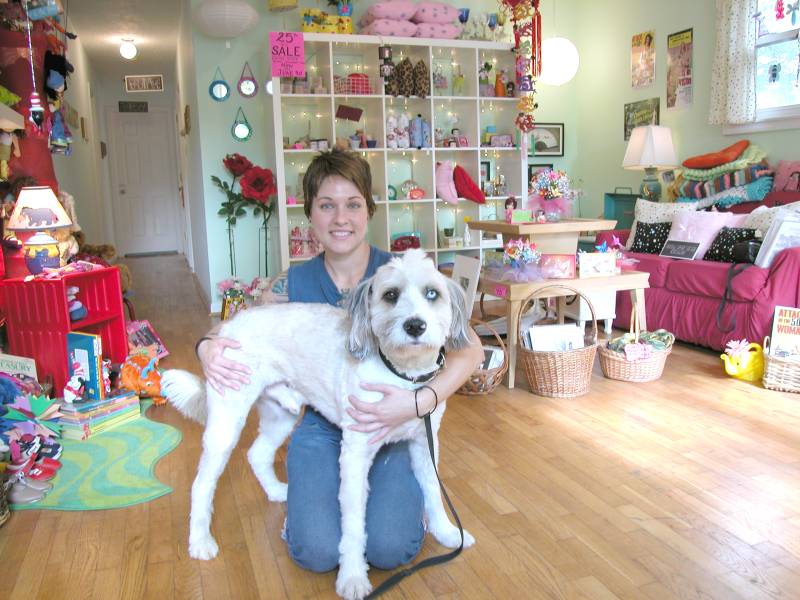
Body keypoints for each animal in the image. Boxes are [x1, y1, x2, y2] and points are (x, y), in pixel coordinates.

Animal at [162, 250, 476, 600]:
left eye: (432, 293)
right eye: (390, 295)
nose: (415, 325)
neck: (403, 377)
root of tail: (226, 327)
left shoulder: (425, 445)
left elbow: (433, 492)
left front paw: (447, 533)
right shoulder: (354, 456)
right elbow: (353, 526)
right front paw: (352, 577)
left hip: (281, 416)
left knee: (257, 454)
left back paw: (276, 491)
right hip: (226, 426)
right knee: (201, 485)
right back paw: (200, 541)